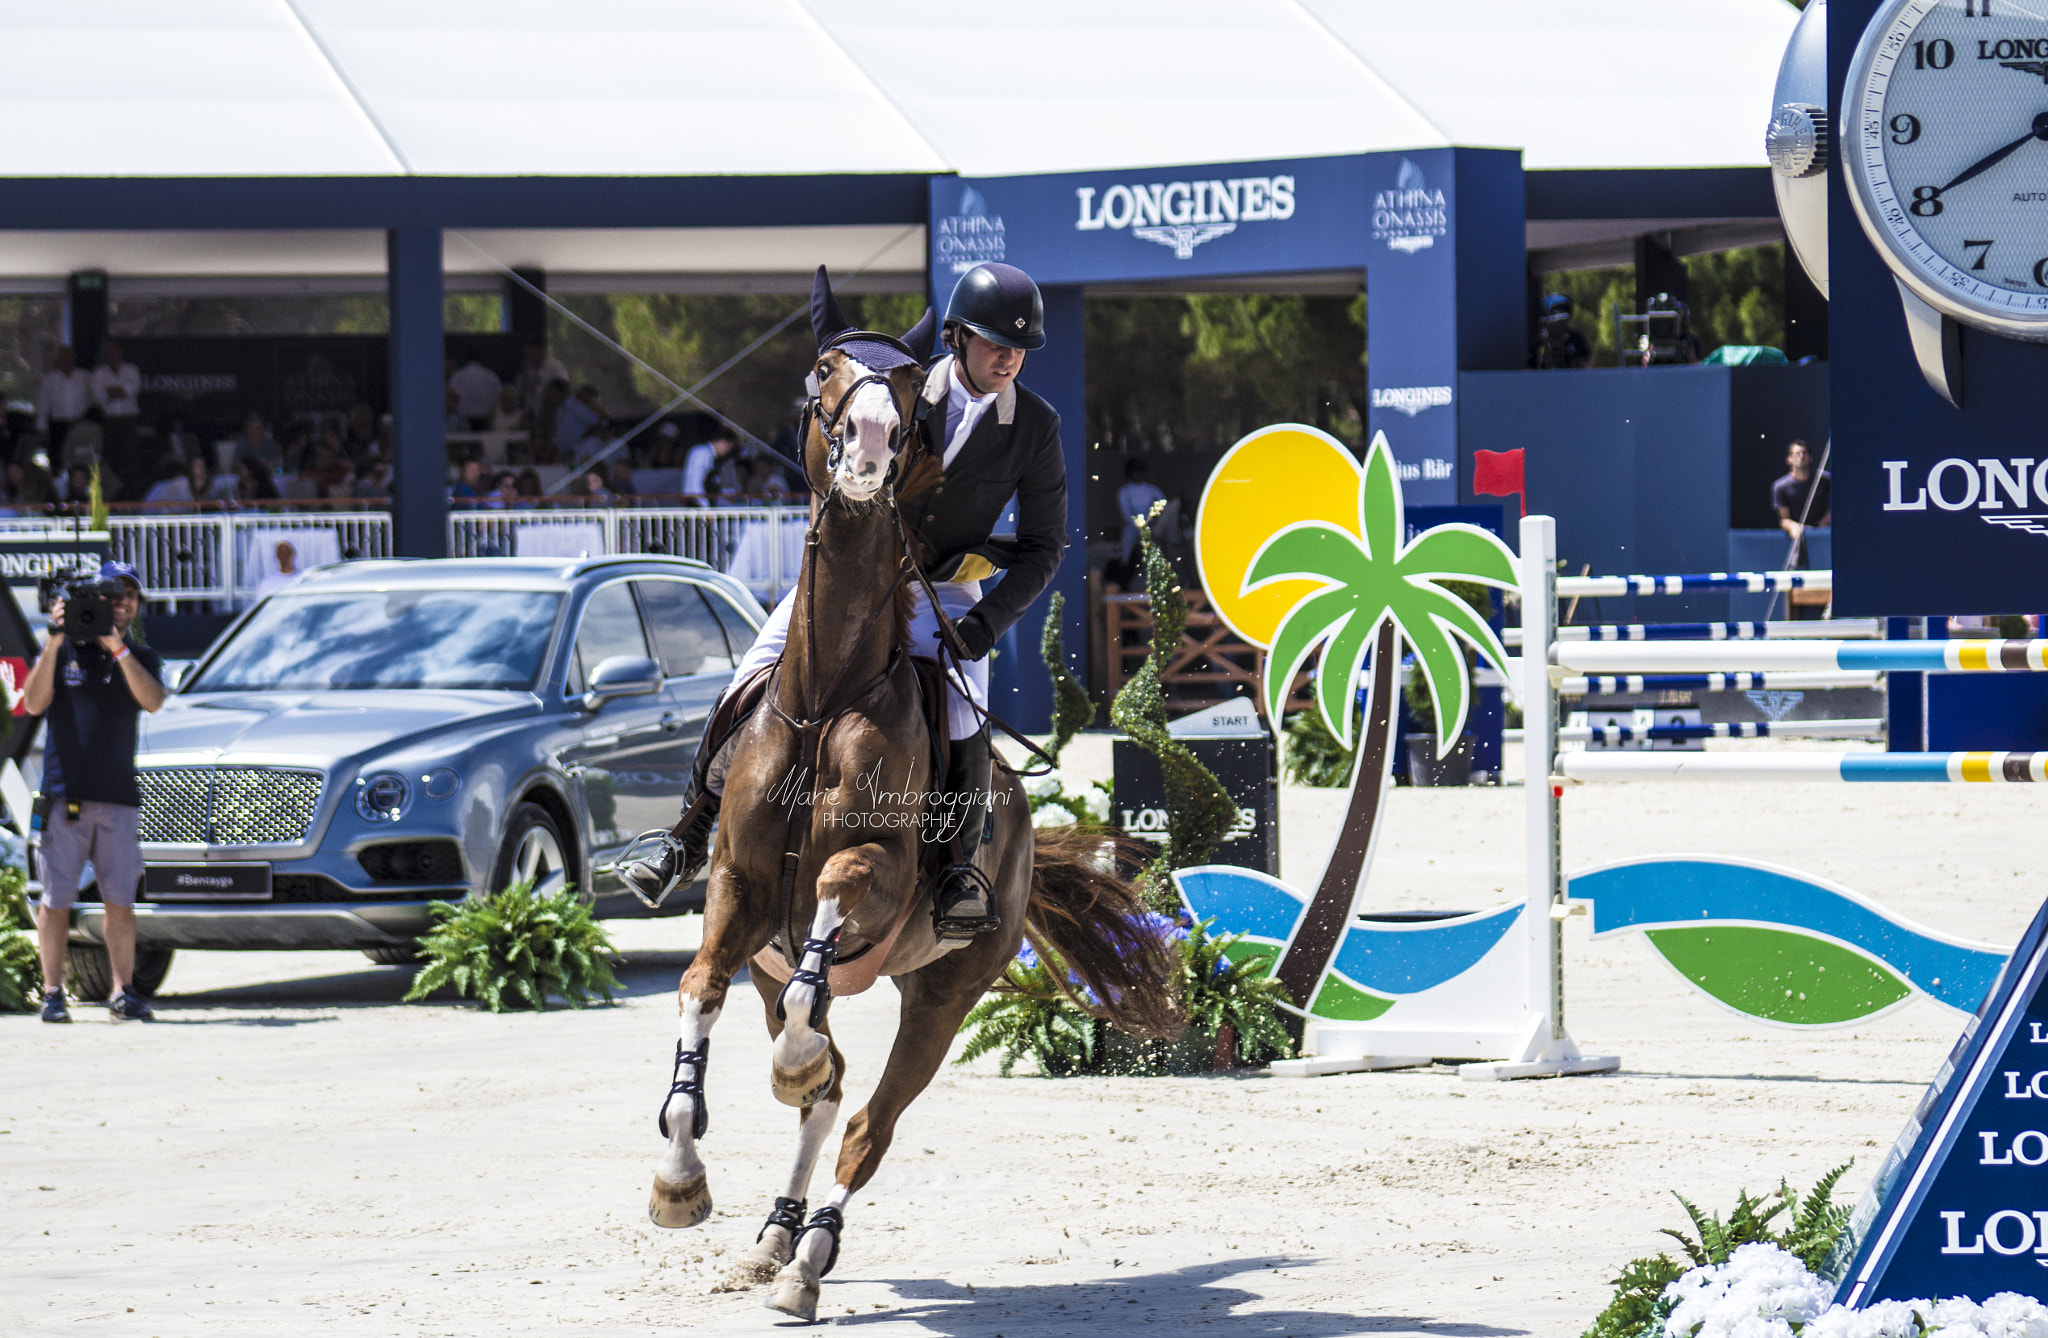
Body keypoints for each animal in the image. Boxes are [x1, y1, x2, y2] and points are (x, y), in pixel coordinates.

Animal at [638, 268, 1187, 1311]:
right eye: (824, 369)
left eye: (907, 393)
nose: (869, 447)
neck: (826, 694)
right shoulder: (738, 887)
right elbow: (697, 991)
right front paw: (679, 1181)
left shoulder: (876, 877)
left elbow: (833, 910)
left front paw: (780, 1080)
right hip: (778, 963)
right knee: (826, 1088)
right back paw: (773, 1238)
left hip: (945, 991)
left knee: (866, 1120)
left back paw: (807, 1261)